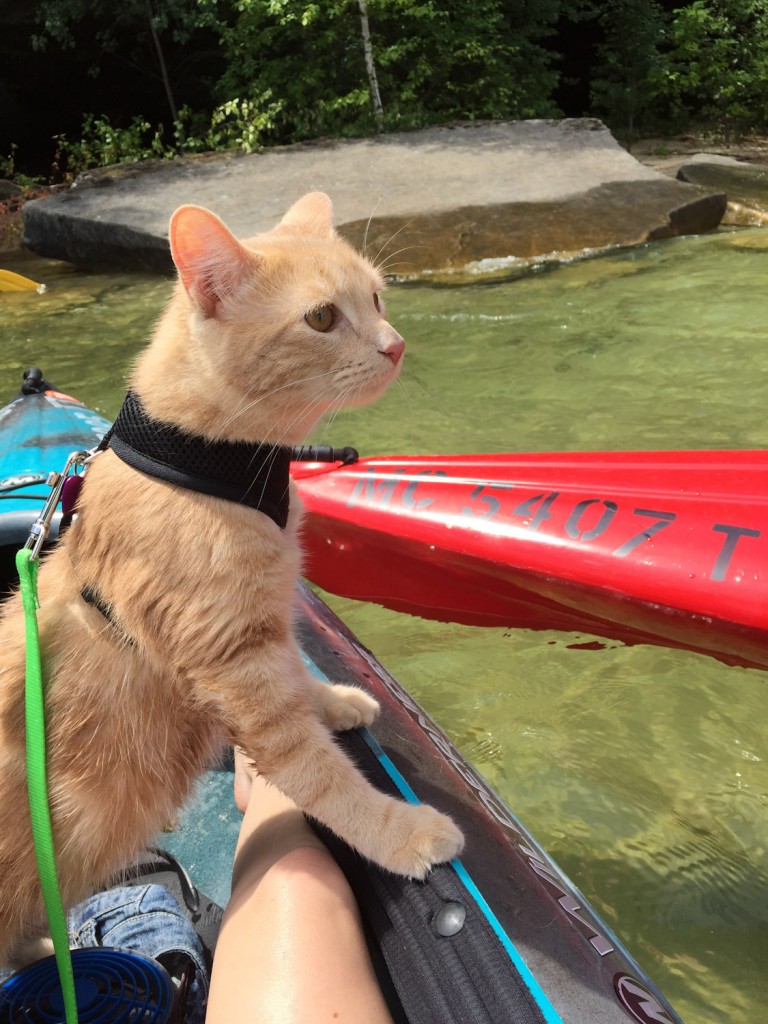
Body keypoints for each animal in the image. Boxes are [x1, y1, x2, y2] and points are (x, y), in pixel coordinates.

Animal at [0, 193, 462, 966]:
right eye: (321, 318)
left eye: (376, 297)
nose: (395, 345)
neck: (205, 463)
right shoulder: (233, 665)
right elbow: (315, 770)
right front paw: (400, 832)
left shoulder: (266, 625)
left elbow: (300, 677)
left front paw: (332, 700)